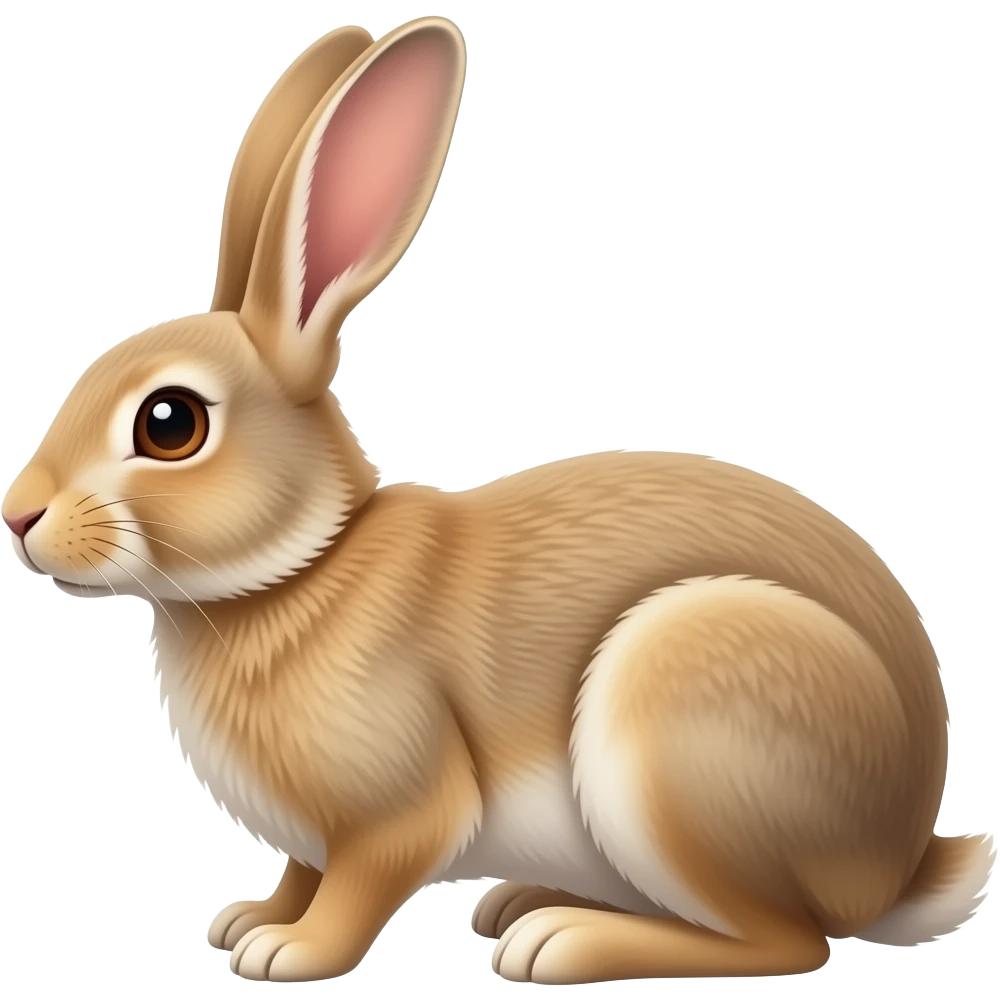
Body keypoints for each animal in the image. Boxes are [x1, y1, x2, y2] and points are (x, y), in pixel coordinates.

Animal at [2, 15, 993, 987]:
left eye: (170, 423)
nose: (18, 514)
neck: (305, 567)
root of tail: (898, 862)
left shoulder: (398, 810)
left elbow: (360, 884)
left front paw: (289, 953)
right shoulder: (314, 840)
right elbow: (302, 873)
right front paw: (249, 920)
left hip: (681, 722)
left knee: (788, 941)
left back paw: (560, 942)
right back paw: (525, 904)